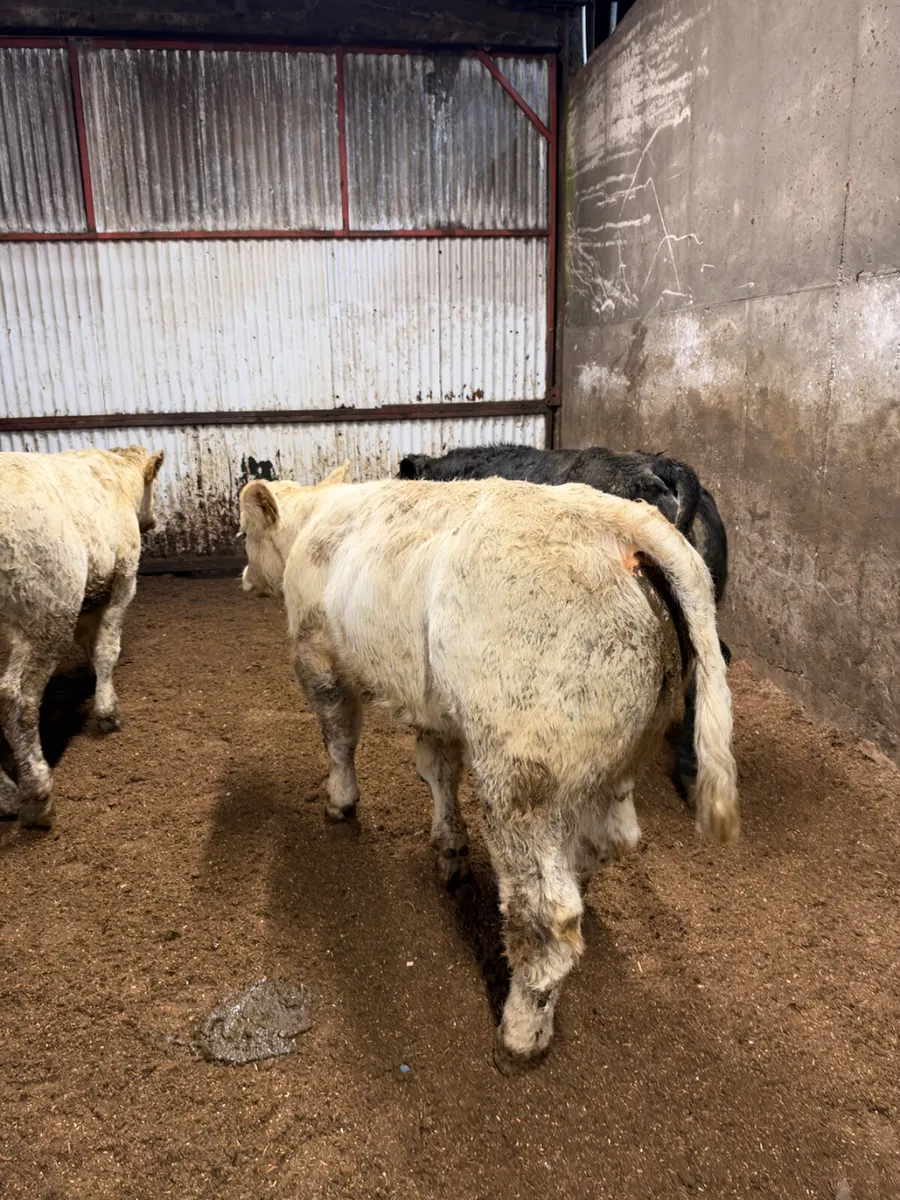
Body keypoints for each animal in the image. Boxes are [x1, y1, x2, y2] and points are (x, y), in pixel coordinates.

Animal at [0, 445, 165, 828]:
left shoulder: (90, 594)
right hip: (47, 615)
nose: (153, 521)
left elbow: (91, 642)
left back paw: (7, 798)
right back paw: (36, 793)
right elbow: (106, 646)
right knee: (17, 697)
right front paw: (106, 711)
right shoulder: (123, 578)